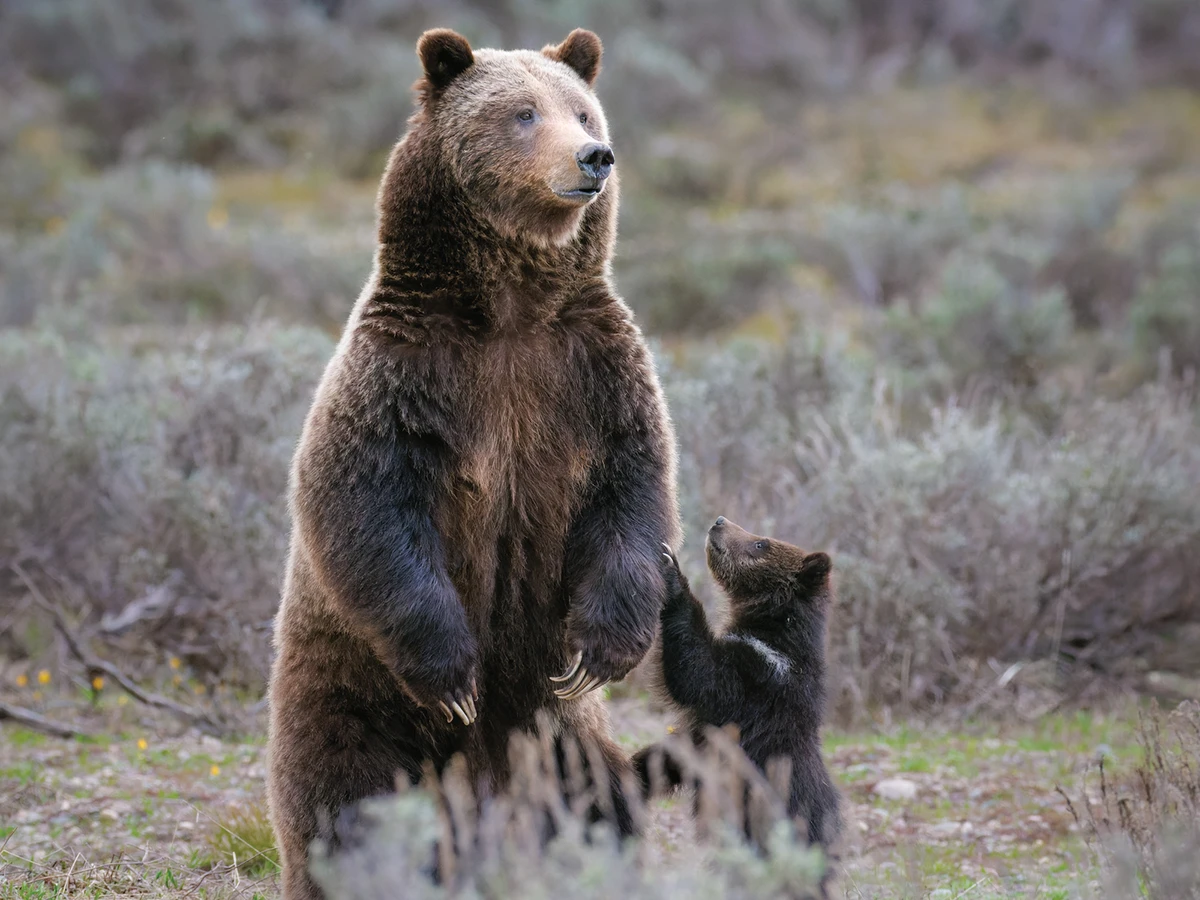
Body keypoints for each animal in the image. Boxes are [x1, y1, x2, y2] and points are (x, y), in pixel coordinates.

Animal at [266, 27, 681, 900]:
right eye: (522, 113)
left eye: (581, 108)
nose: (595, 156)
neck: (512, 308)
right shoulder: (407, 374)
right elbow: (363, 503)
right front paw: (454, 674)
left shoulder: (593, 374)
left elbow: (635, 497)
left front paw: (601, 650)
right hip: (350, 695)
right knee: (344, 801)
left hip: (553, 738)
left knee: (598, 799)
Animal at [633, 517, 841, 867]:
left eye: (761, 543)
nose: (720, 522)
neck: (773, 630)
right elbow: (666, 757)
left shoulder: (756, 679)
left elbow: (698, 672)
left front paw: (671, 570)